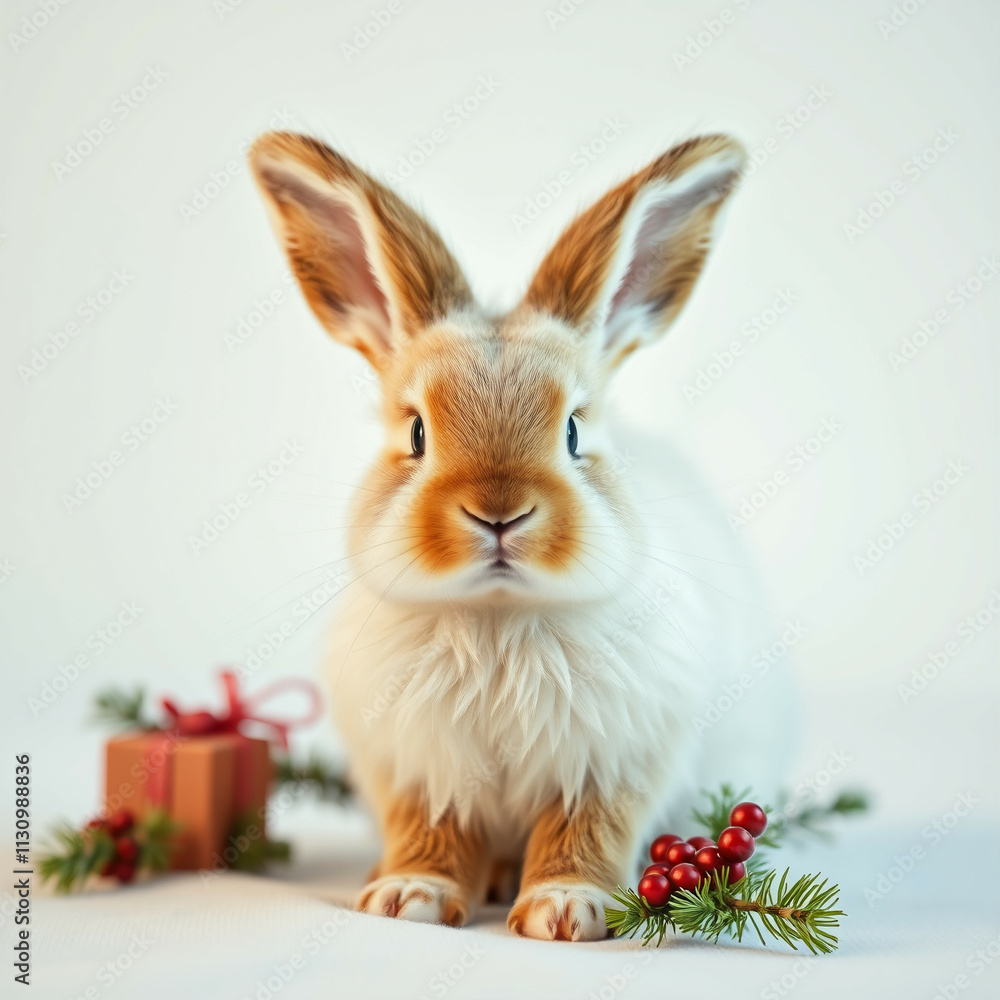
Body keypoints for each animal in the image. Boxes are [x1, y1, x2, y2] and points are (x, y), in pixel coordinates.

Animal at [248, 131, 791, 940]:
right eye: (416, 433)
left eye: (574, 432)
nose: (498, 514)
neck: (497, 618)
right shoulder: (419, 767)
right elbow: (430, 831)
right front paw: (408, 898)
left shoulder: (609, 765)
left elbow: (584, 833)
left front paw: (566, 911)